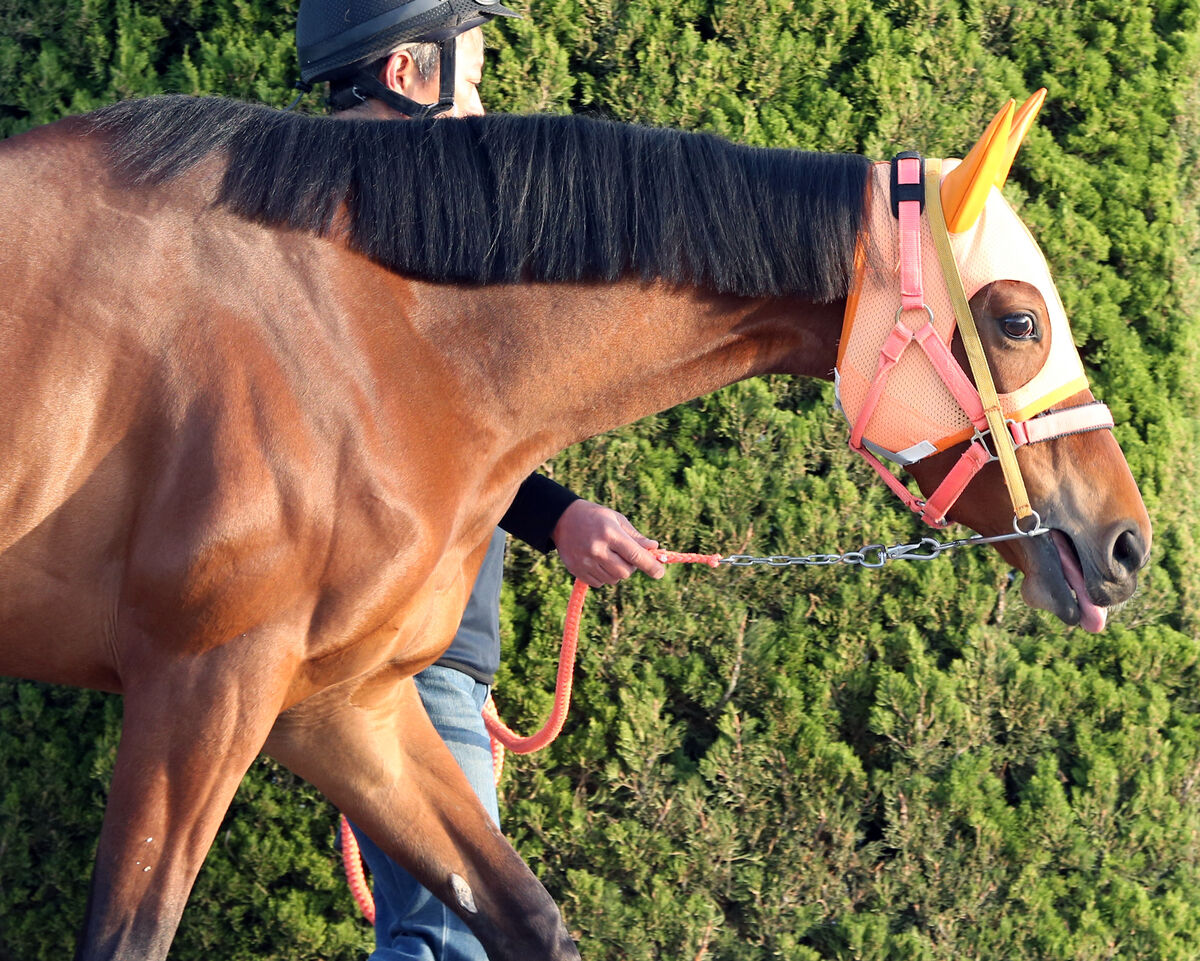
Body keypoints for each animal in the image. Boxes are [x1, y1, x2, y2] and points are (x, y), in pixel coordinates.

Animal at [0, 95, 1147, 959]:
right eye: (1016, 319)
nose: (1125, 542)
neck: (366, 341)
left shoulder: (339, 707)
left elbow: (528, 917)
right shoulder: (203, 690)